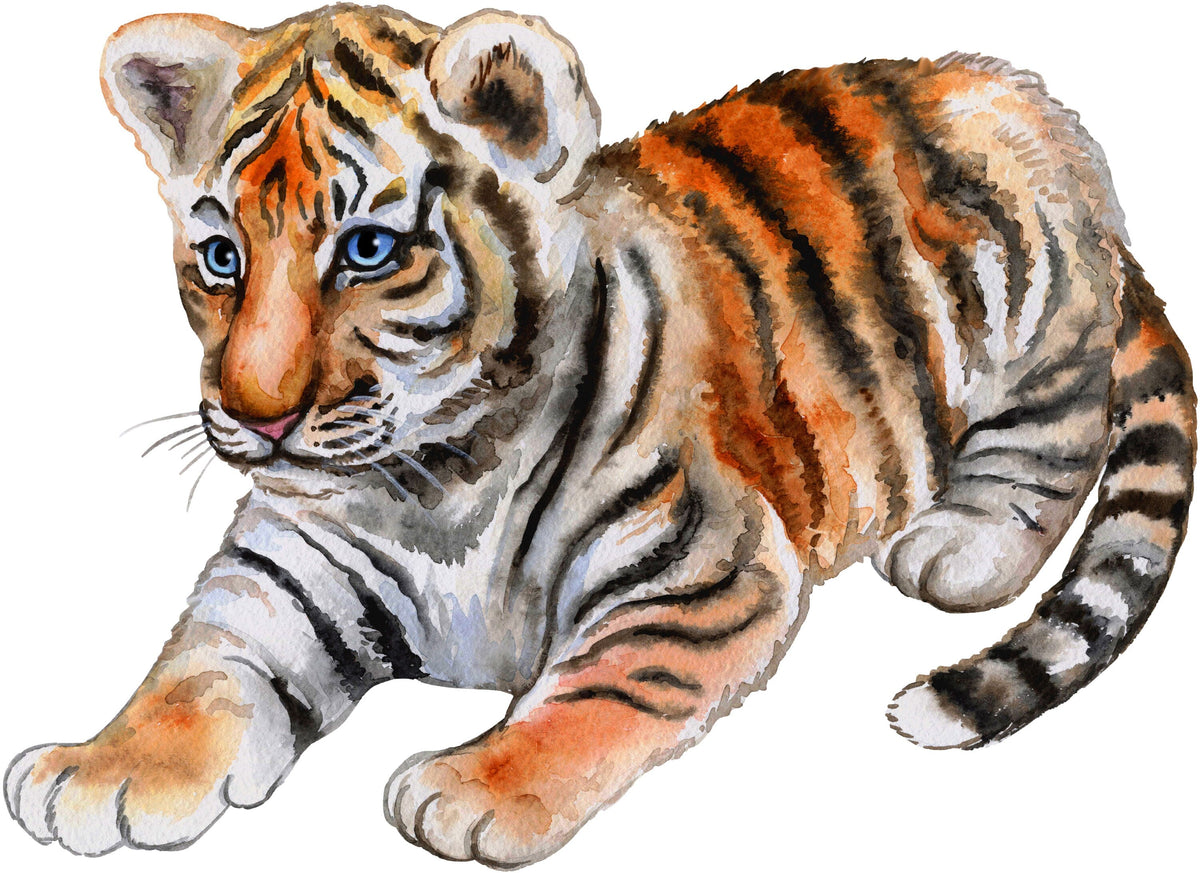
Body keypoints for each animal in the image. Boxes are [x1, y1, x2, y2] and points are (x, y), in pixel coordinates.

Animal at [4, 3, 1193, 866]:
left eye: (370, 249)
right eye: (220, 259)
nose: (256, 419)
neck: (434, 482)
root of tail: (1007, 90)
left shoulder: (702, 575)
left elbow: (600, 692)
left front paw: (471, 787)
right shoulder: (288, 566)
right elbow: (197, 667)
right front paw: (100, 770)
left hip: (1034, 304)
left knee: (1059, 428)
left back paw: (963, 542)